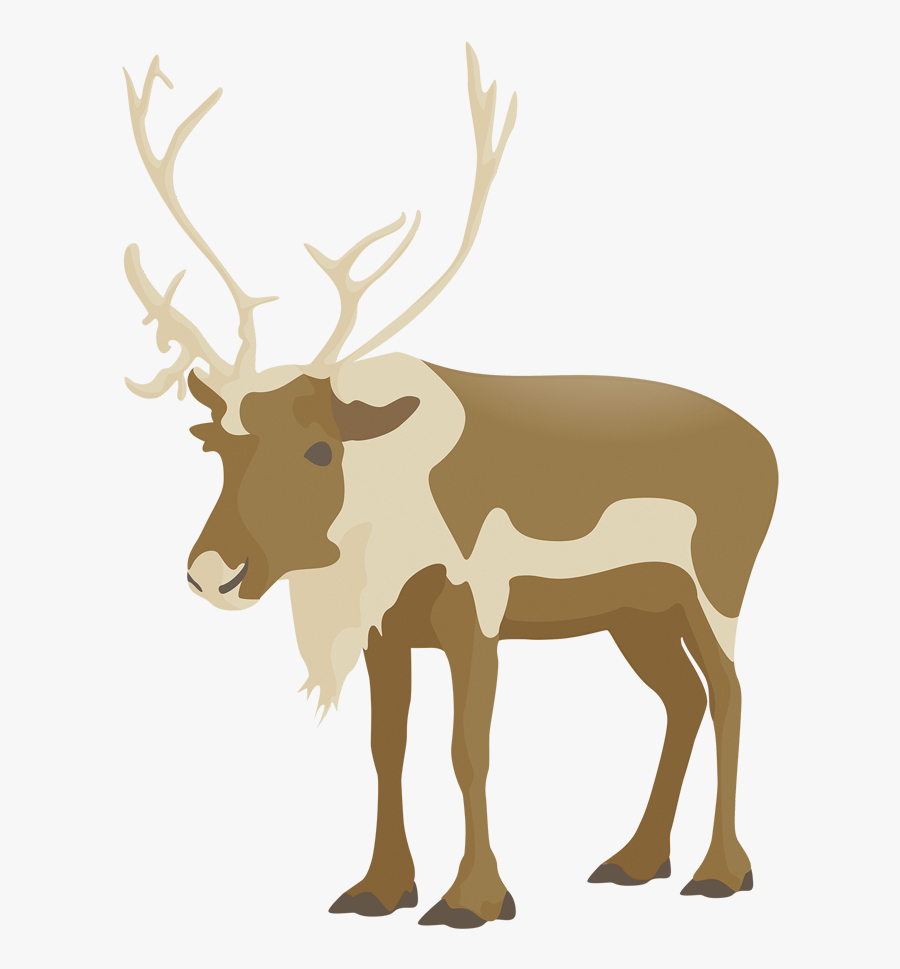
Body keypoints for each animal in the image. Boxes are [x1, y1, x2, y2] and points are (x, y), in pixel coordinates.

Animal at [122, 46, 778, 929]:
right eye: (214, 443)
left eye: (321, 449)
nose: (212, 570)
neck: (383, 520)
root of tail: (769, 448)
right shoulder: (385, 630)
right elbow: (386, 747)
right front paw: (379, 887)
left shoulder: (479, 607)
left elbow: (470, 747)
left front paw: (475, 897)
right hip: (634, 610)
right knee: (683, 699)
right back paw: (637, 858)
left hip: (714, 589)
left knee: (732, 694)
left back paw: (720, 868)